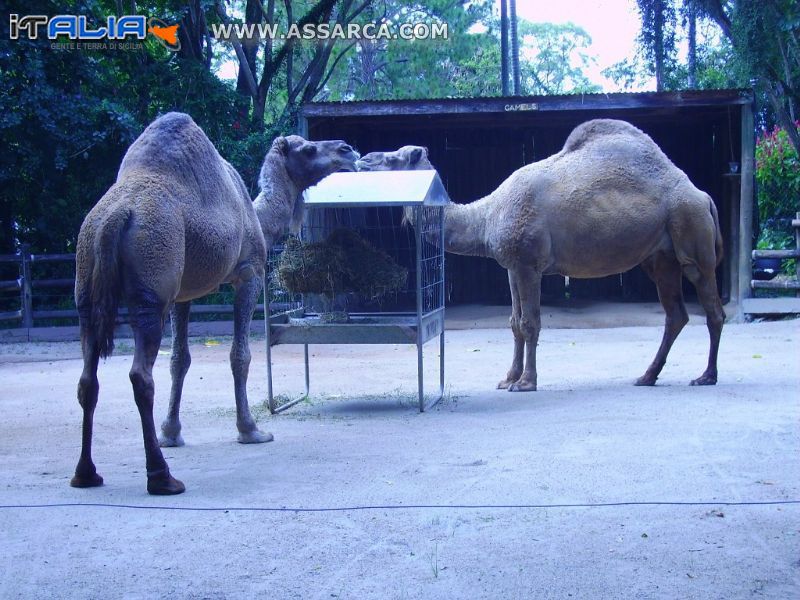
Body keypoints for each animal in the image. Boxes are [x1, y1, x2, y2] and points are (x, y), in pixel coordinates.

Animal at [72, 111, 360, 492]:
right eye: (308, 149)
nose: (347, 149)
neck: (257, 217)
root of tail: (114, 219)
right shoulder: (248, 272)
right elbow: (240, 355)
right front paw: (251, 430)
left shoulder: (183, 293)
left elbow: (180, 360)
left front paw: (171, 432)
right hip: (151, 288)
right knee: (139, 376)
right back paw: (162, 477)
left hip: (87, 289)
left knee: (87, 378)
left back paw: (86, 473)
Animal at [356, 120, 724, 394]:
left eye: (396, 158)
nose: (361, 156)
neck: (487, 216)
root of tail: (703, 196)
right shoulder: (510, 266)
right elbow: (514, 322)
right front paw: (508, 378)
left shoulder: (528, 263)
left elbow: (530, 322)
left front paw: (526, 382)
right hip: (660, 258)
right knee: (676, 314)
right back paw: (648, 376)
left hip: (692, 236)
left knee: (712, 309)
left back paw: (706, 376)